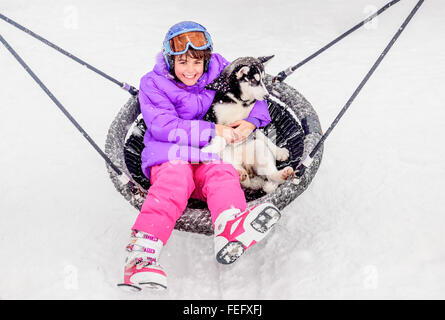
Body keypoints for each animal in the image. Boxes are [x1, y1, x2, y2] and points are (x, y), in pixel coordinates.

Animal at [200, 55, 292, 192]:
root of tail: (245, 165)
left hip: (258, 149)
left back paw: (280, 175)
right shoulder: (212, 119)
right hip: (225, 160)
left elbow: (262, 135)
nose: (267, 96)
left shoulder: (248, 122)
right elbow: (221, 137)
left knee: (267, 174)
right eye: (253, 80)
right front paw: (210, 147)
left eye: (263, 80)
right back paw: (240, 173)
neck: (239, 101)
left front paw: (279, 151)